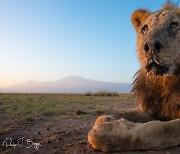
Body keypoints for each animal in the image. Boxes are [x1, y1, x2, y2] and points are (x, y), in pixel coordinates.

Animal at [88, 2, 179, 152]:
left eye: (174, 25)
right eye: (145, 29)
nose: (150, 46)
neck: (165, 81)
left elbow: (157, 129)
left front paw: (107, 134)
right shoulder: (151, 108)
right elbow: (126, 113)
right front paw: (106, 119)